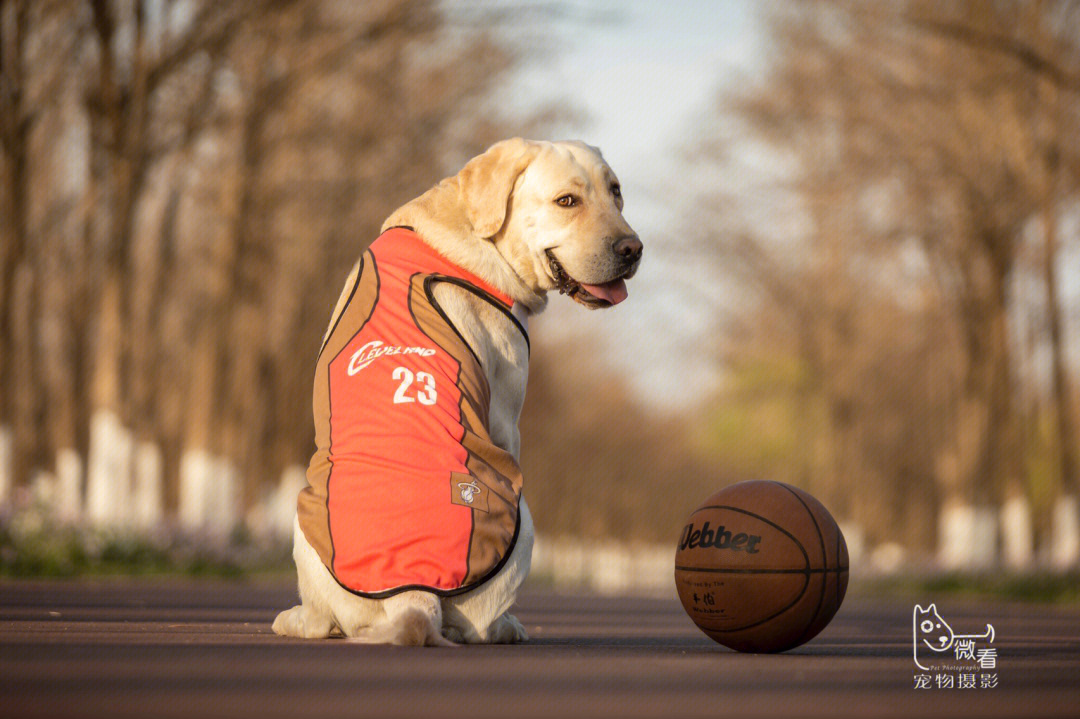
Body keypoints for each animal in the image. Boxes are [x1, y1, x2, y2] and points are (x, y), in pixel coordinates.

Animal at [274, 137, 639, 639]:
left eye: (616, 192)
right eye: (567, 201)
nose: (634, 249)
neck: (470, 230)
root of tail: (413, 589)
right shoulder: (507, 415)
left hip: (304, 514)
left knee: (325, 621)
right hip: (523, 520)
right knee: (477, 628)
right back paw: (511, 627)